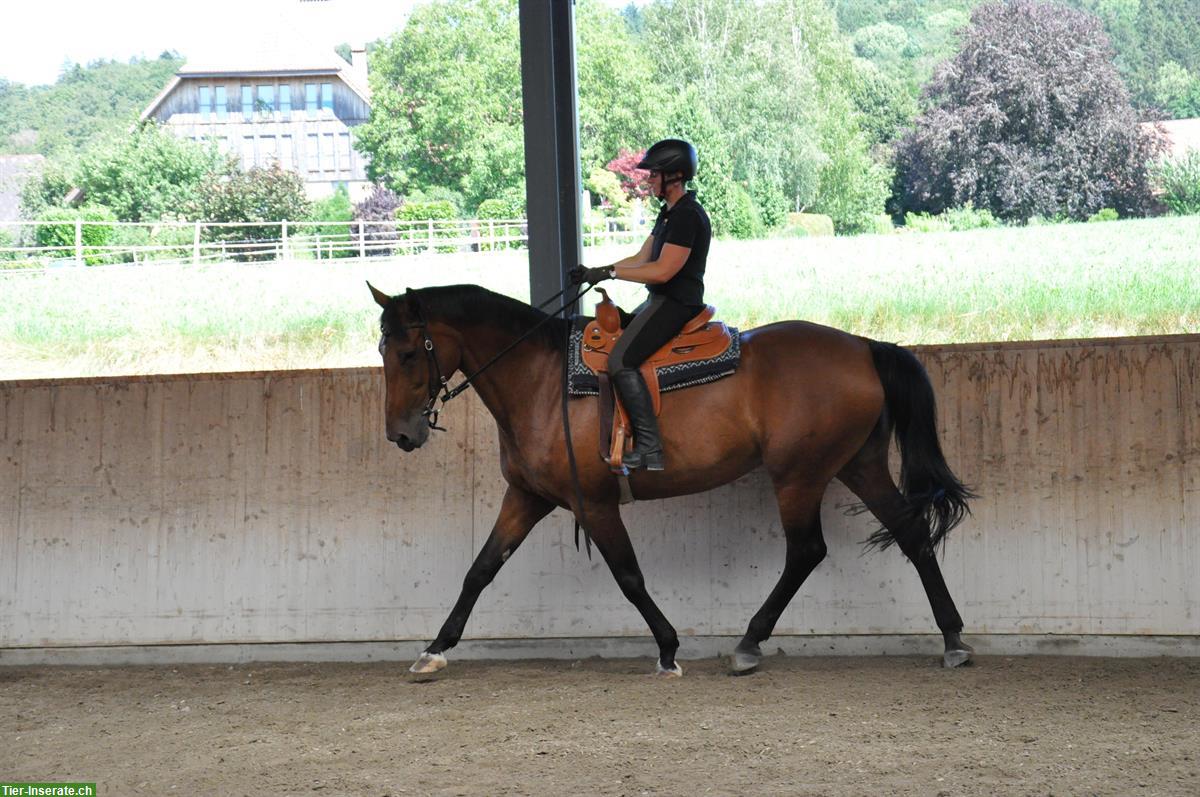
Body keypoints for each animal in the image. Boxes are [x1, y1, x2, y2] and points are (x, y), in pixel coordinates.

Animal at [367, 283, 974, 676]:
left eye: (408, 353)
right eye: (382, 350)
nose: (400, 433)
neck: (539, 380)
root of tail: (865, 347)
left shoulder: (595, 503)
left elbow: (629, 576)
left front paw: (667, 647)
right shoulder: (527, 497)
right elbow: (480, 570)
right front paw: (436, 647)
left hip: (798, 477)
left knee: (807, 551)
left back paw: (749, 643)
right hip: (857, 465)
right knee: (912, 534)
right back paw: (952, 638)